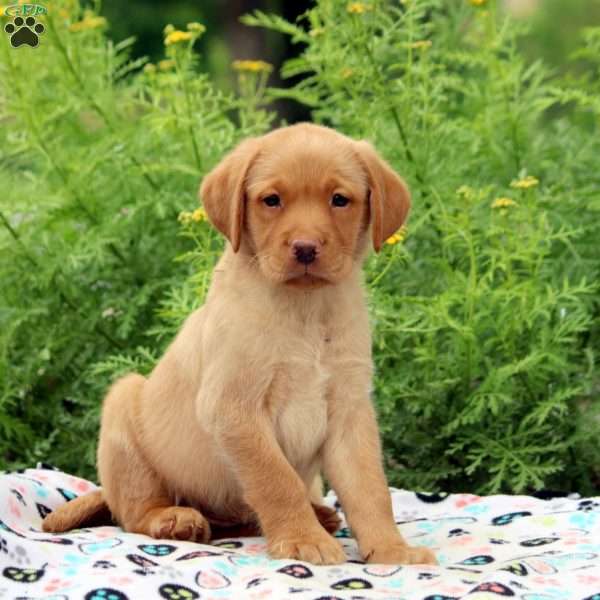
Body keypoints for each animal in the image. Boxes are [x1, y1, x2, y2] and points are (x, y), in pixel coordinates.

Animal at [43, 123, 436, 568]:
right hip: (124, 406)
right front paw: (302, 539)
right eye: (271, 200)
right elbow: (275, 479)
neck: (305, 310)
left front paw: (391, 549)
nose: (305, 248)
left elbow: (370, 489)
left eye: (339, 199)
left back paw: (318, 514)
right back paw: (175, 519)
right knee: (134, 512)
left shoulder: (349, 411)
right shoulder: (234, 408)